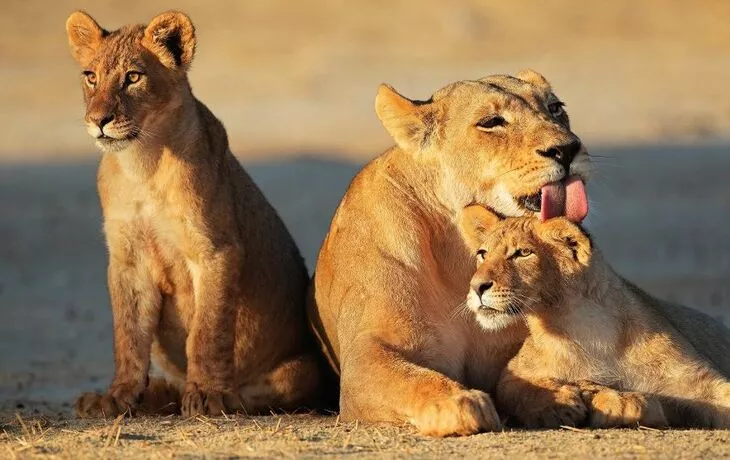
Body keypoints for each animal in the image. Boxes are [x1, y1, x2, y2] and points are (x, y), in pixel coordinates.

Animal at [65, 10, 323, 417]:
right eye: (90, 76)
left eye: (133, 77)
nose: (99, 120)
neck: (143, 163)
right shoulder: (127, 259)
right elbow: (128, 335)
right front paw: (117, 396)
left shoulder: (215, 250)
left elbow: (208, 329)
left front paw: (207, 394)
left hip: (305, 368)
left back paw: (224, 397)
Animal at [308, 70, 594, 436]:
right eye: (492, 122)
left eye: (555, 108)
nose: (568, 149)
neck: (461, 254)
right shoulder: (365, 358)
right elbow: (411, 379)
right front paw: (460, 402)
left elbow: (521, 372)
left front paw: (557, 398)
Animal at [459, 205, 730, 429]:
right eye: (483, 253)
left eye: (523, 253)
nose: (476, 286)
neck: (587, 328)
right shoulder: (514, 370)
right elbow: (519, 388)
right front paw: (558, 404)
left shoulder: (698, 382)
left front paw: (620, 401)